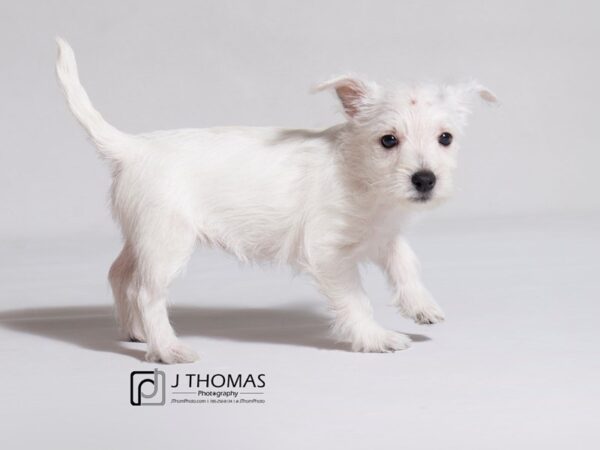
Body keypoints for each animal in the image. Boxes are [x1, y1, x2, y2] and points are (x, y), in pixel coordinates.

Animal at [55, 37, 496, 362]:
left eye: (445, 138)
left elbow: (405, 261)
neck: (359, 172)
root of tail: (132, 147)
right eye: (388, 140)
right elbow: (356, 299)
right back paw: (166, 348)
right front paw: (374, 337)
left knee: (120, 275)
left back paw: (134, 332)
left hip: (145, 237)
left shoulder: (382, 232)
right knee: (147, 293)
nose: (425, 180)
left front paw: (421, 304)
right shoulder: (329, 254)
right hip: (167, 243)